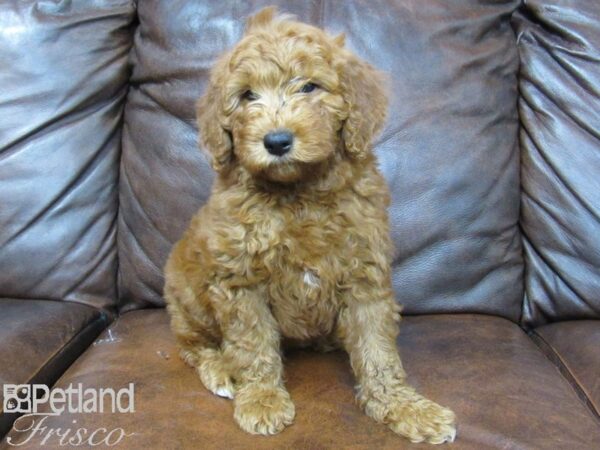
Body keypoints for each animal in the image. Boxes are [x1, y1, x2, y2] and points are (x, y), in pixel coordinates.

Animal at [164, 6, 454, 442]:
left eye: (309, 87)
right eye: (247, 95)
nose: (276, 141)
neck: (299, 194)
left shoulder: (365, 274)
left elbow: (378, 350)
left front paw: (403, 406)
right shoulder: (239, 280)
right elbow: (253, 344)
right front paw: (262, 399)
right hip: (189, 296)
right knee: (192, 344)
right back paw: (220, 369)